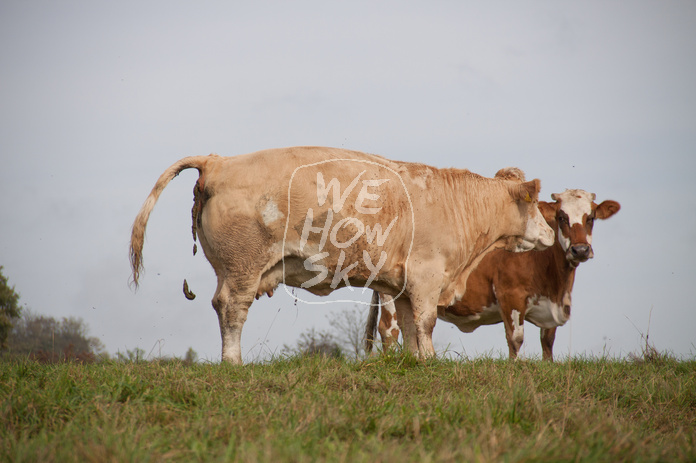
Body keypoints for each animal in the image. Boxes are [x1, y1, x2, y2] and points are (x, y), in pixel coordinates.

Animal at [130, 147, 556, 364]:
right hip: (242, 268)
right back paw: (232, 362)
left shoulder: (402, 285)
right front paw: (433, 360)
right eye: (534, 203)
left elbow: (409, 326)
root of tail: (218, 160)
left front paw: (418, 363)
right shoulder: (427, 276)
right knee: (231, 309)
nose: (552, 233)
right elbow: (426, 322)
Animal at [368, 188, 624, 362]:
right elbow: (515, 338)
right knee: (389, 331)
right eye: (562, 217)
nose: (580, 250)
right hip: (390, 297)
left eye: (591, 218)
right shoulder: (511, 297)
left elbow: (547, 342)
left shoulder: (550, 308)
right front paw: (515, 367)